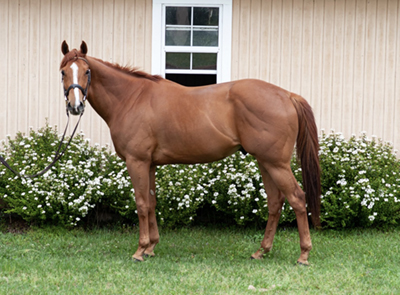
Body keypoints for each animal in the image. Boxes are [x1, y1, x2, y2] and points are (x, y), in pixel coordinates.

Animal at [60, 41, 322, 266]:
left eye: (87, 71)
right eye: (63, 72)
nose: (75, 106)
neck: (131, 98)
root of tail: (287, 95)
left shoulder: (137, 162)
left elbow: (142, 203)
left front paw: (140, 250)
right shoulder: (150, 164)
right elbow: (152, 202)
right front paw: (151, 247)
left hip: (276, 164)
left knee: (297, 198)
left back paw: (303, 254)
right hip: (266, 163)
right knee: (275, 202)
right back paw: (261, 251)